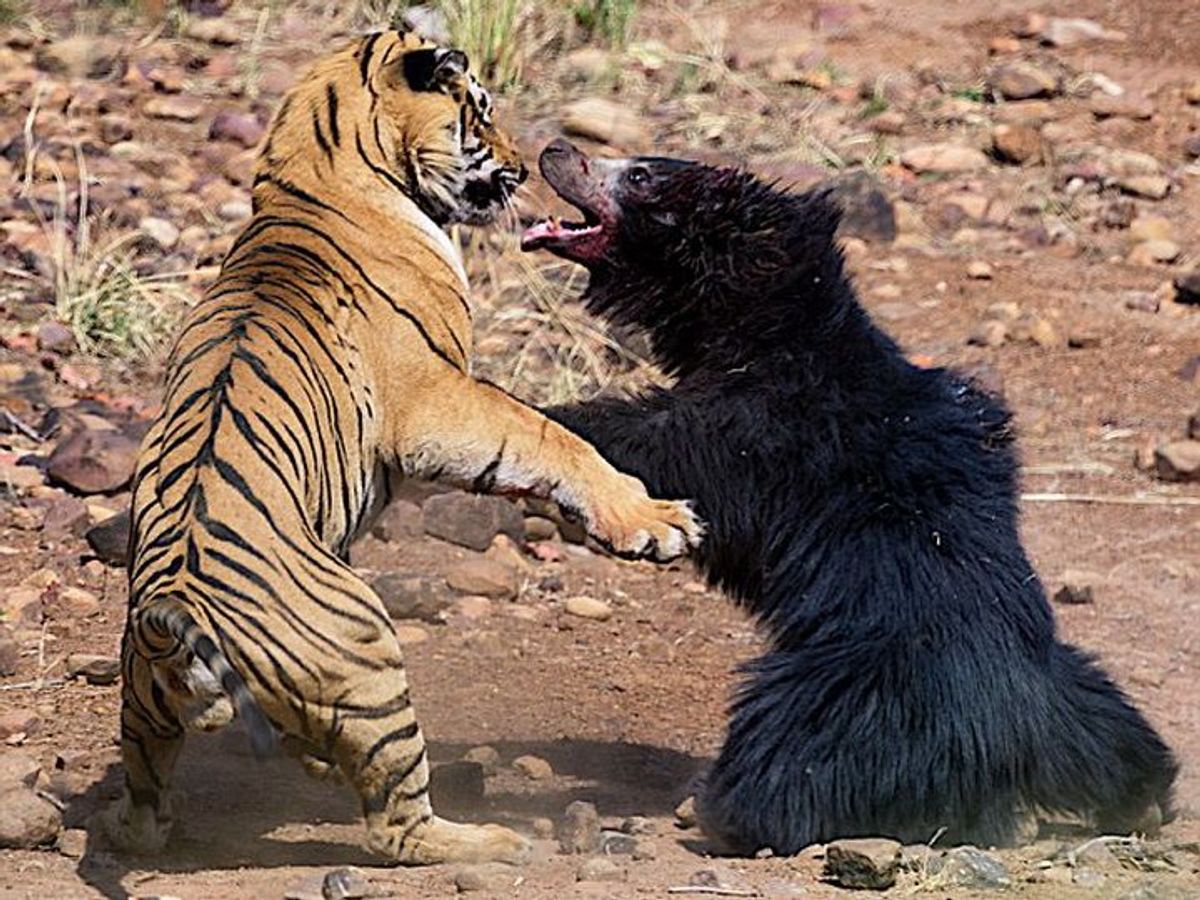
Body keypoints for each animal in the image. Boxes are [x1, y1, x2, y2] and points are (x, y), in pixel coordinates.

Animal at [100, 31, 700, 868]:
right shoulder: (437, 400)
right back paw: (492, 842)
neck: (309, 176)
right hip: (369, 656)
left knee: (146, 803)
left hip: (143, 709)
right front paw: (654, 521)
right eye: (480, 110)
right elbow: (548, 437)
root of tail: (175, 611)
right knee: (397, 826)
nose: (522, 161)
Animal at [520, 137, 1176, 854]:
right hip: (1068, 690)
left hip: (855, 693)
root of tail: (1005, 742)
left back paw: (724, 811)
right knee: (1111, 725)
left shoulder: (762, 430)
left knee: (786, 753)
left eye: (639, 175)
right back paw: (1145, 799)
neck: (770, 324)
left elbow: (658, 442)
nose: (554, 149)